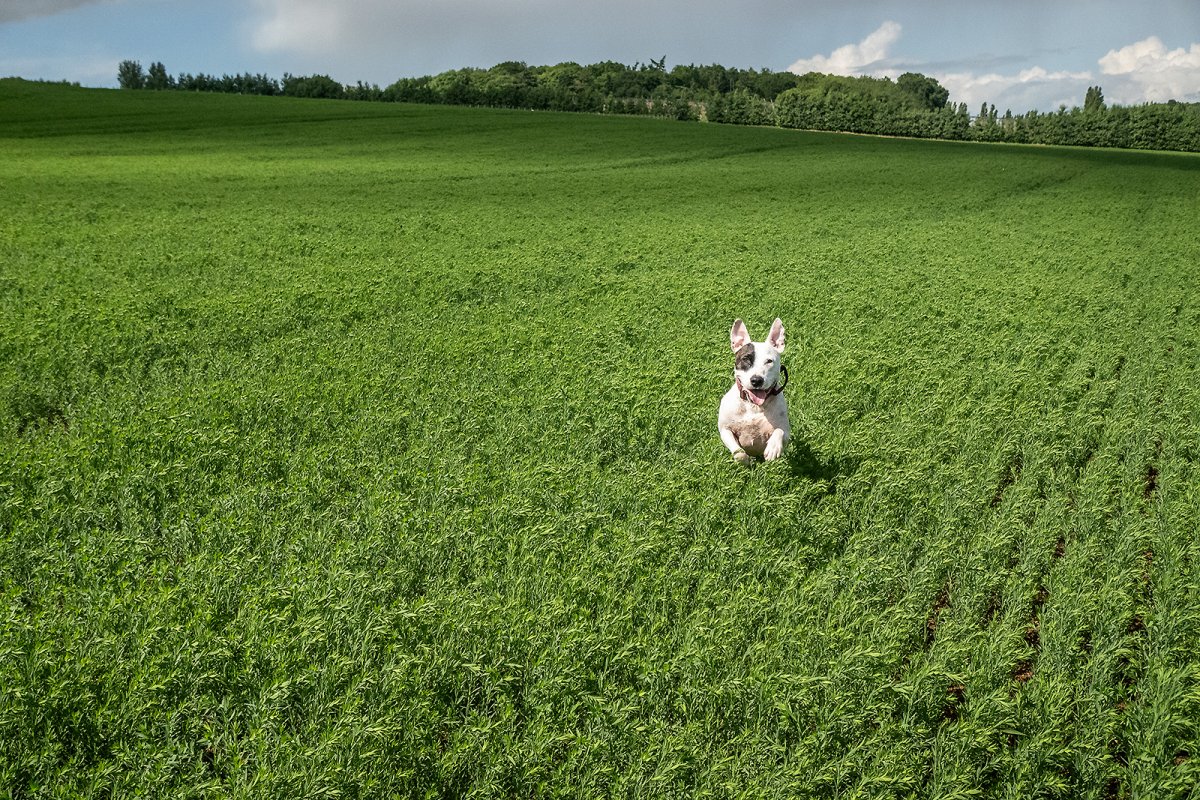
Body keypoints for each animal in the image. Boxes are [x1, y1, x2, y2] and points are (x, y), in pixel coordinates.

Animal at [715, 319, 792, 465]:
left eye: (769, 361)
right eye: (746, 359)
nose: (757, 380)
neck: (753, 405)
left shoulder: (786, 432)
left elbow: (779, 431)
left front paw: (773, 448)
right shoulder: (725, 430)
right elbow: (739, 453)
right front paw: (745, 461)